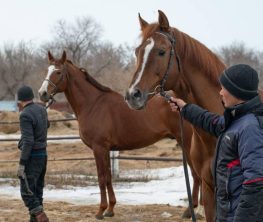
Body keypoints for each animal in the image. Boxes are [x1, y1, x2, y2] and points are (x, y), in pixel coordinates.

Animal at [38, 51, 200, 219]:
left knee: (196, 174)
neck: (93, 104)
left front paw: (100, 211)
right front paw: (110, 209)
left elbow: (101, 178)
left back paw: (190, 210)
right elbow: (108, 177)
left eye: (58, 72)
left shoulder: (99, 148)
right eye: (47, 70)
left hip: (186, 143)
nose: (42, 94)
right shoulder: (106, 149)